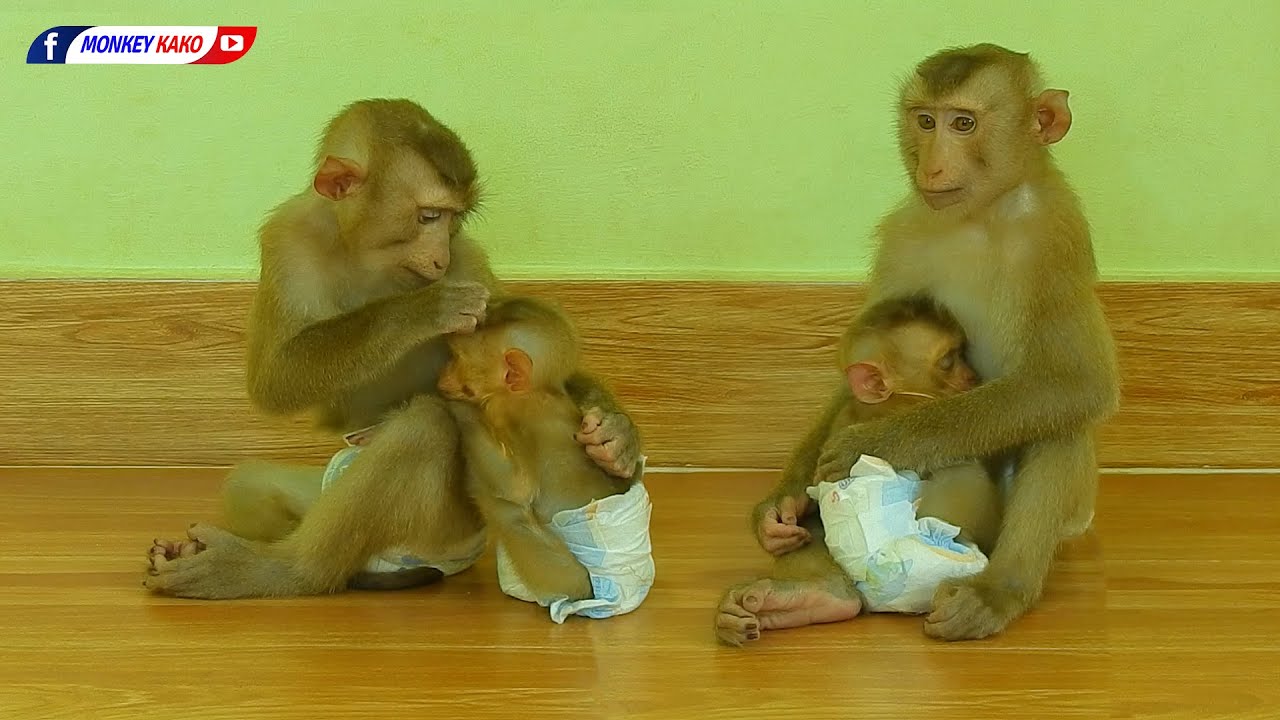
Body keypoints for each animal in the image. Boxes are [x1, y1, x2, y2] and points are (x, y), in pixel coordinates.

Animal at [437, 295, 638, 604]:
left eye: (456, 357)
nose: (441, 375)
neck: (538, 392)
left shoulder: (516, 418)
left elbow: (516, 487)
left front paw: (458, 408)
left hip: (573, 578)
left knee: (507, 512)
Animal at [716, 293, 1000, 645]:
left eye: (961, 353)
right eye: (949, 360)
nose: (972, 375)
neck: (885, 404)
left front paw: (781, 517)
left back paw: (809, 598)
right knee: (961, 472)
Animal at [754, 43, 1121, 642]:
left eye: (963, 123)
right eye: (926, 121)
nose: (932, 163)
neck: (983, 213)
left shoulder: (1055, 237)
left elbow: (1077, 383)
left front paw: (882, 442)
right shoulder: (905, 230)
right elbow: (857, 361)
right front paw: (780, 504)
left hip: (1067, 519)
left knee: (1060, 416)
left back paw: (1000, 588)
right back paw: (813, 592)